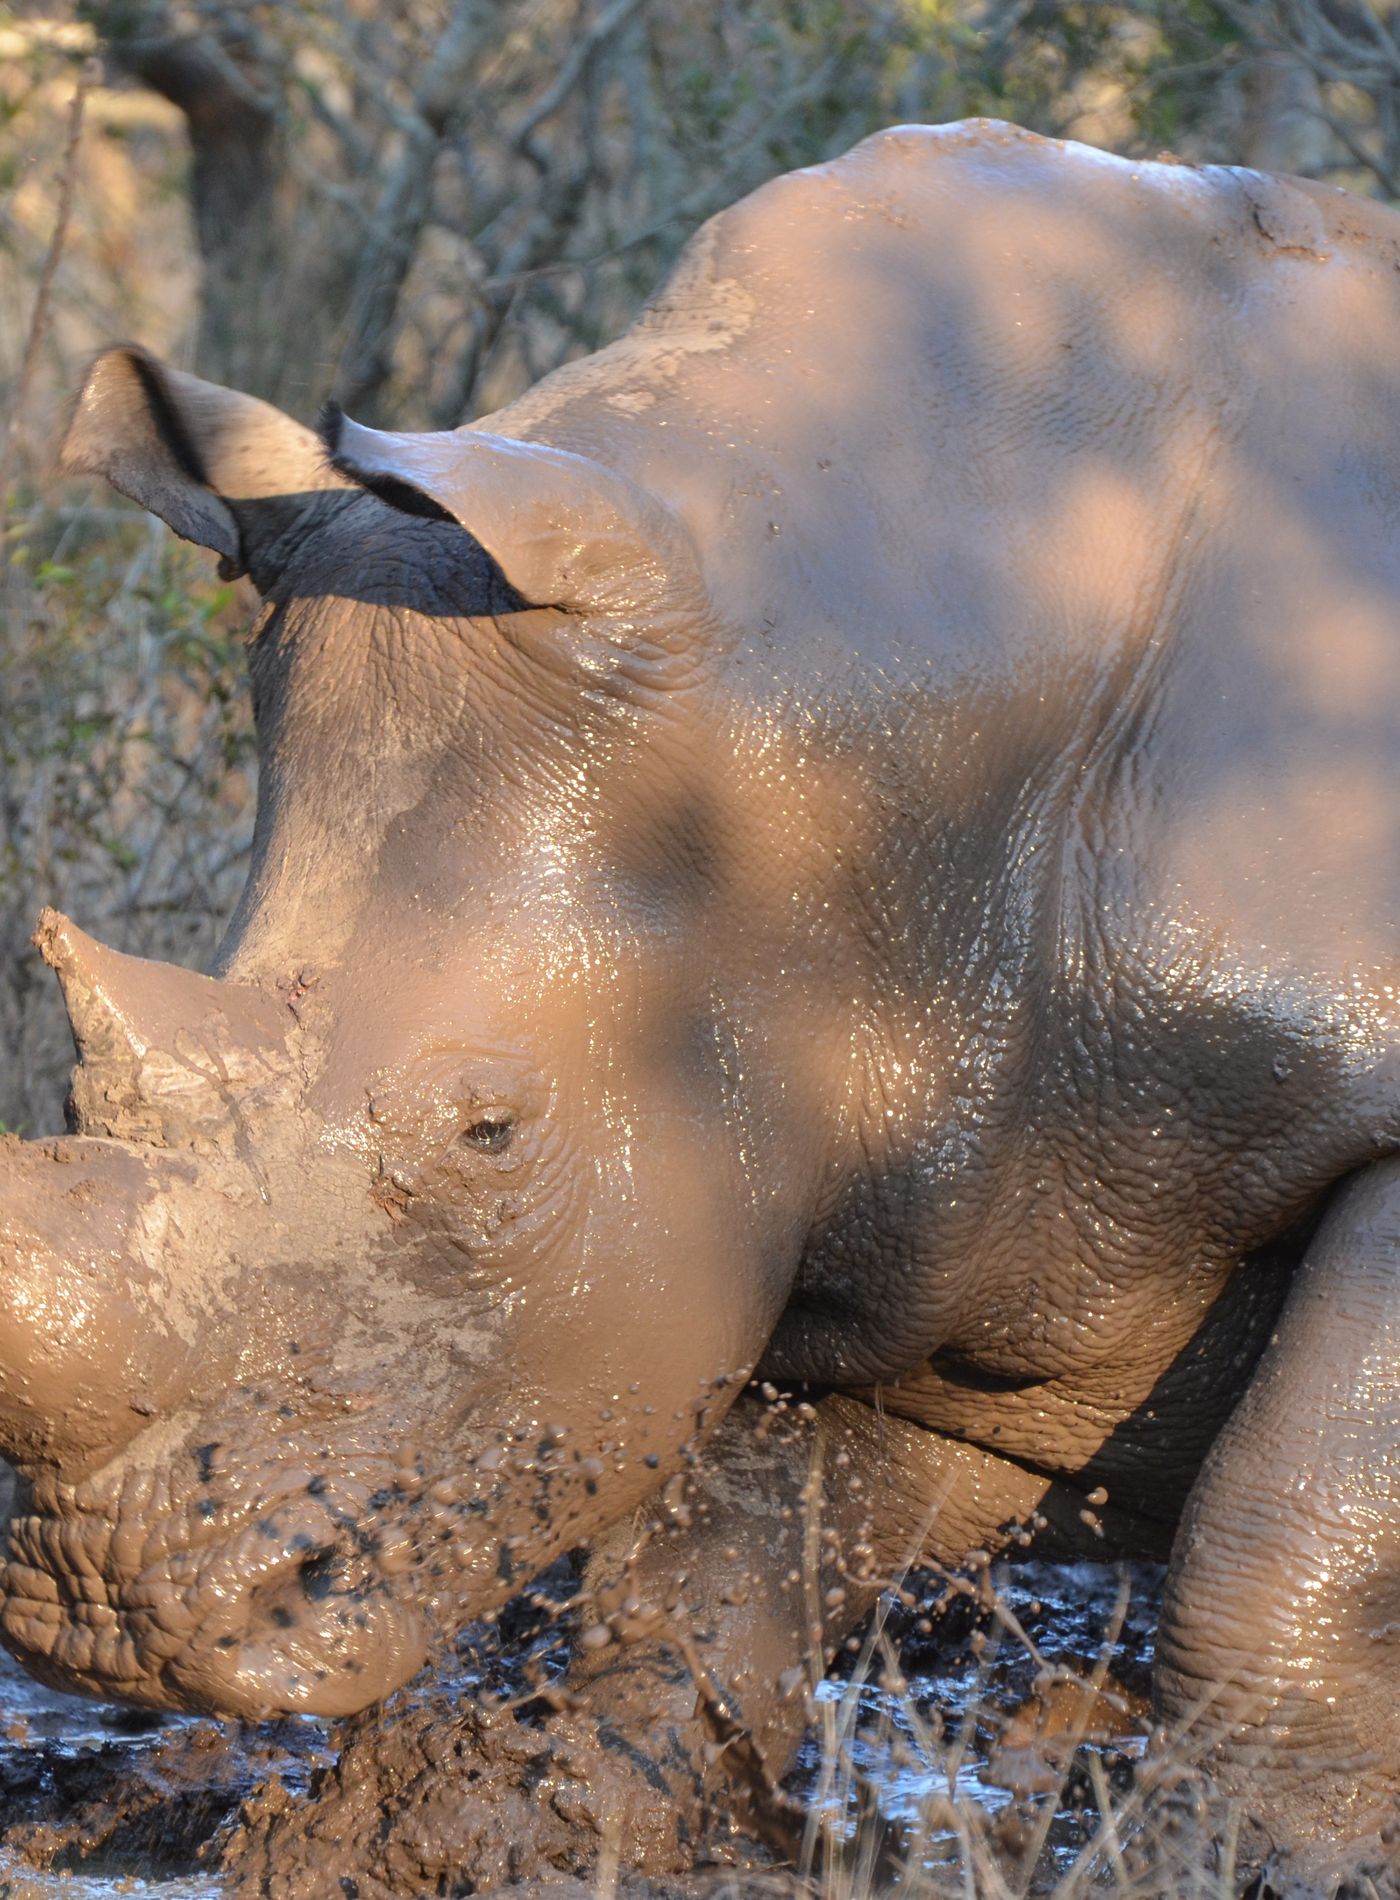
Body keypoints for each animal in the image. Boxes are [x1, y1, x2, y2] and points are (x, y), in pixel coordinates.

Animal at [8, 117, 1400, 1891]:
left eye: (489, 1131)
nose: (98, 1607)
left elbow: (1286, 1540)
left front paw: (1249, 1863)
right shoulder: (908, 1146)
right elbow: (720, 1571)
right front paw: (514, 1833)